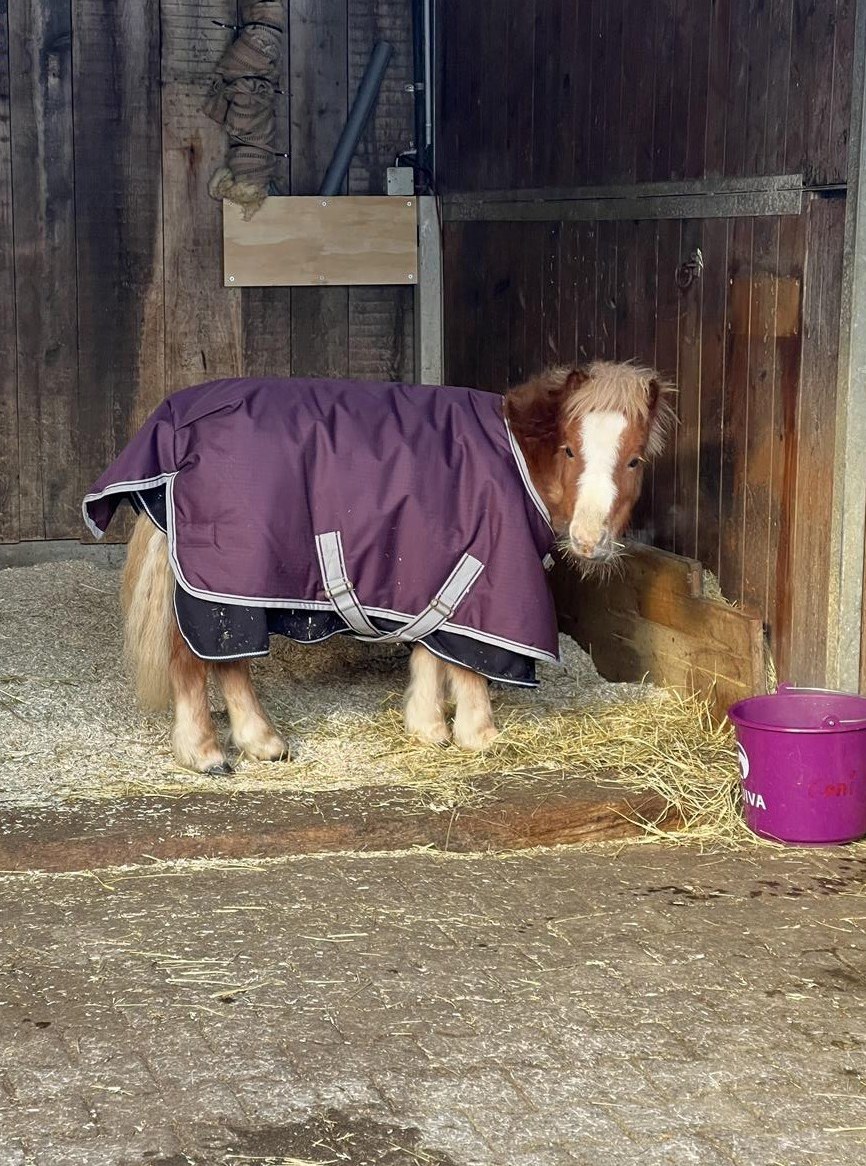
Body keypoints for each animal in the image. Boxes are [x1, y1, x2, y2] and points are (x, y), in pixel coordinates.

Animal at [87, 362, 673, 773]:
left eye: (634, 460)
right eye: (571, 450)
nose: (589, 541)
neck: (511, 453)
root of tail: (175, 431)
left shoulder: (435, 576)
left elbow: (432, 654)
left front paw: (428, 727)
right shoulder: (483, 580)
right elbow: (469, 666)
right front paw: (479, 735)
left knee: (227, 661)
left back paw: (262, 742)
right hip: (221, 582)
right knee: (193, 658)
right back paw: (205, 754)